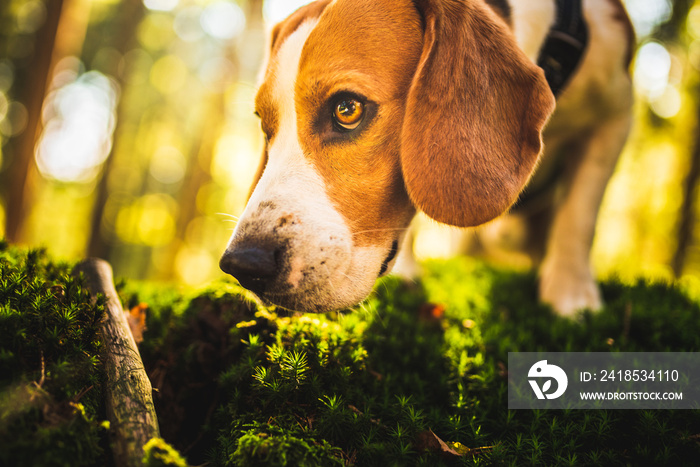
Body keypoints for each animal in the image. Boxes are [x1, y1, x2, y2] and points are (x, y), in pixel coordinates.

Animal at [219, 0, 636, 318]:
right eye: (266, 127)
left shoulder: (617, 114)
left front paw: (570, 297)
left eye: (347, 109)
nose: (242, 265)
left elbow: (579, 215)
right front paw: (405, 269)